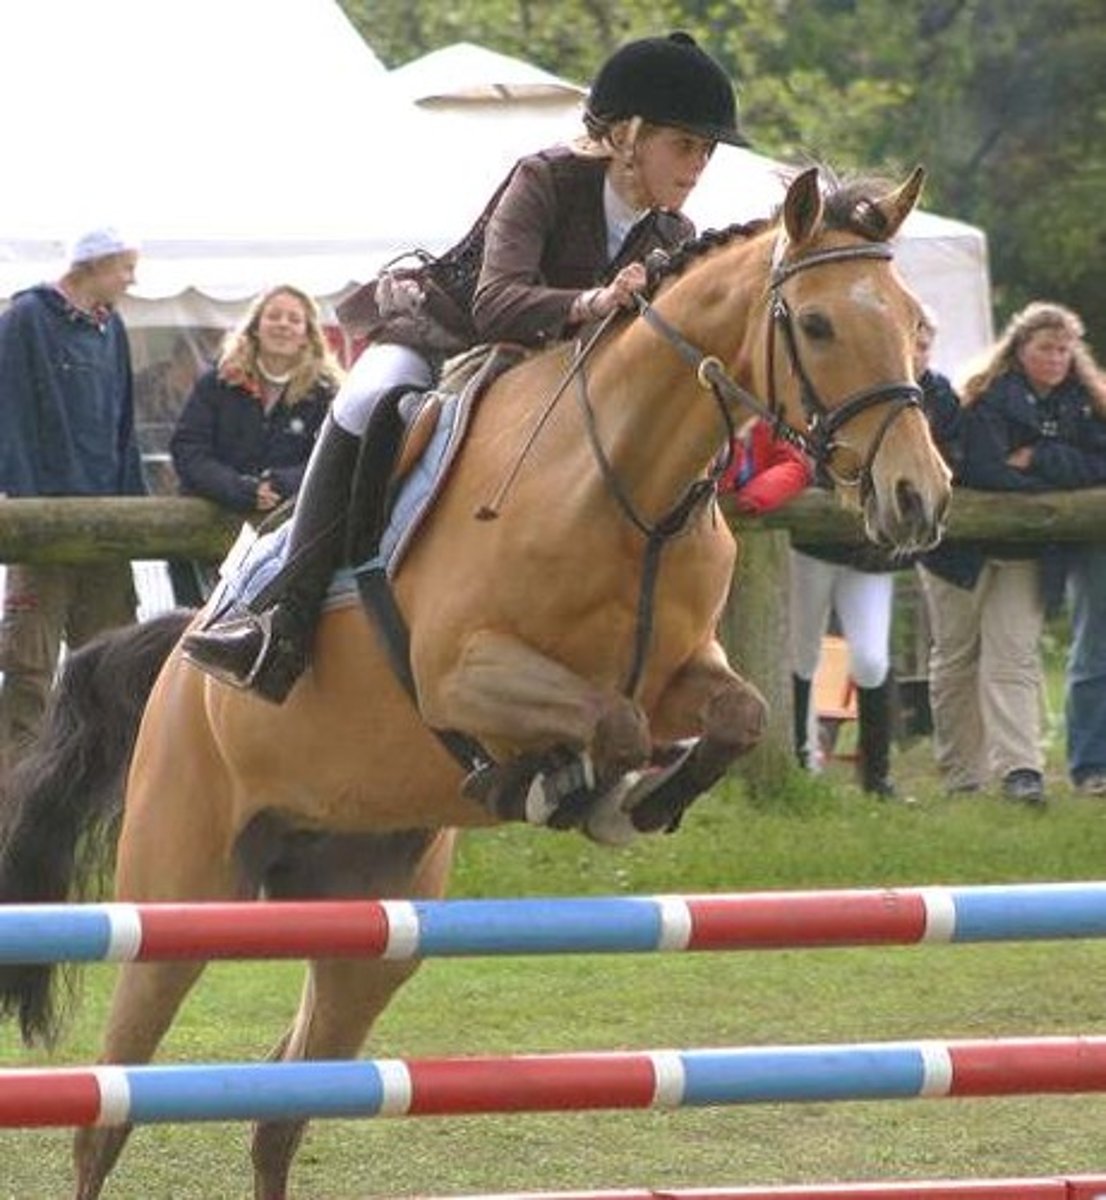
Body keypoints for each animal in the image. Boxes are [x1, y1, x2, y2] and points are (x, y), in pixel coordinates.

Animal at [0, 167, 951, 1199]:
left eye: (916, 321)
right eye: (815, 324)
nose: (920, 498)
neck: (625, 487)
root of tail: (183, 654)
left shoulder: (679, 676)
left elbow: (735, 714)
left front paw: (634, 797)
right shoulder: (460, 677)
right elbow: (608, 721)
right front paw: (566, 786)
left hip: (369, 929)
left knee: (282, 1106)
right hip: (178, 898)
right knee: (109, 1109)